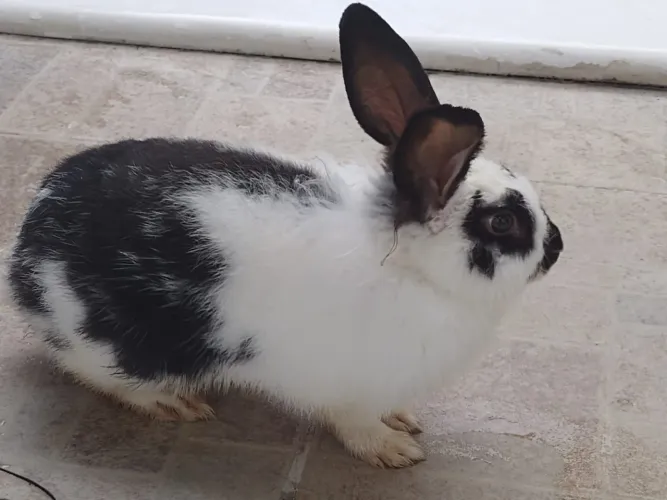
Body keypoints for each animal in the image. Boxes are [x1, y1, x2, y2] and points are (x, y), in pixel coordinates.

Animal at [6, 2, 562, 468]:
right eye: (503, 223)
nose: (557, 247)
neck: (413, 271)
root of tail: (26, 245)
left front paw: (403, 419)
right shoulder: (349, 386)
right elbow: (355, 424)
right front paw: (393, 449)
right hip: (111, 346)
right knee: (92, 371)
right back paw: (173, 401)